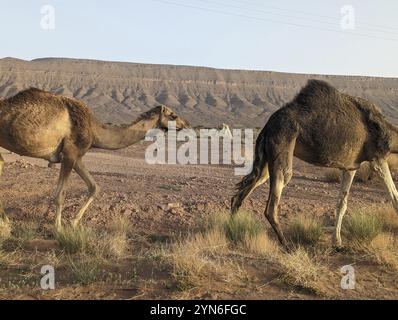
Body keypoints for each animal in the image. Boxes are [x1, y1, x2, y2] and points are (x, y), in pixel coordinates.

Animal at [0, 88, 191, 230]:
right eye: (173, 115)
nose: (186, 124)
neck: (94, 129)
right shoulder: (69, 154)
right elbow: (60, 194)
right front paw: (58, 228)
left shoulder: (77, 157)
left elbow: (94, 187)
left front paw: (73, 222)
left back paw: (7, 221)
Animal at [232, 79, 398, 249]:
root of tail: (266, 127)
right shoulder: (377, 159)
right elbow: (394, 197)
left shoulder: (351, 166)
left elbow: (342, 203)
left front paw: (337, 242)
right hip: (282, 140)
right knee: (273, 201)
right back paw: (286, 245)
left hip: (267, 156)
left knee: (243, 191)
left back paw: (232, 229)